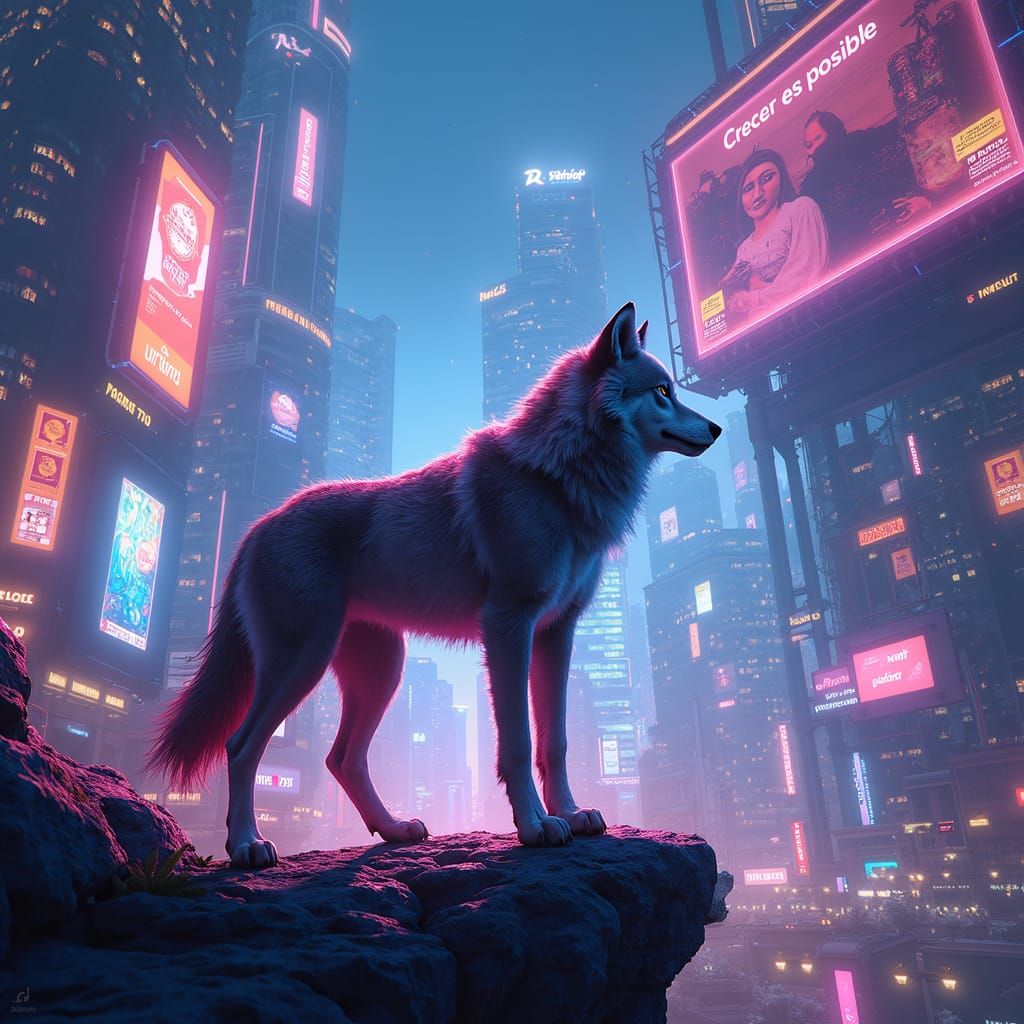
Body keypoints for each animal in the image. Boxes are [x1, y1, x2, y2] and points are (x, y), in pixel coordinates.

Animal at [147, 303, 720, 868]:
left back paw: (393, 830)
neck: (556, 476)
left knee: (342, 758)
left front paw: (572, 815)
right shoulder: (509, 625)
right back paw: (247, 844)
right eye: (663, 391)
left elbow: (553, 743)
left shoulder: (558, 632)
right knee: (242, 746)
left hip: (381, 672)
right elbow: (517, 743)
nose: (715, 428)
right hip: (303, 662)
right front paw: (535, 826)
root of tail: (256, 526)